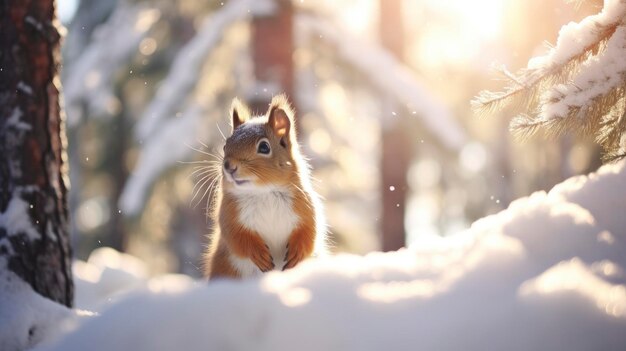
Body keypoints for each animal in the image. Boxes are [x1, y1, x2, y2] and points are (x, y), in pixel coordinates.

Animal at [204, 94, 326, 280]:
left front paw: (297, 252)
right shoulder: (229, 215)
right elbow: (237, 237)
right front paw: (258, 254)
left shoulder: (305, 207)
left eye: (264, 147)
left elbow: (308, 231)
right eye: (225, 145)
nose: (228, 166)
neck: (264, 192)